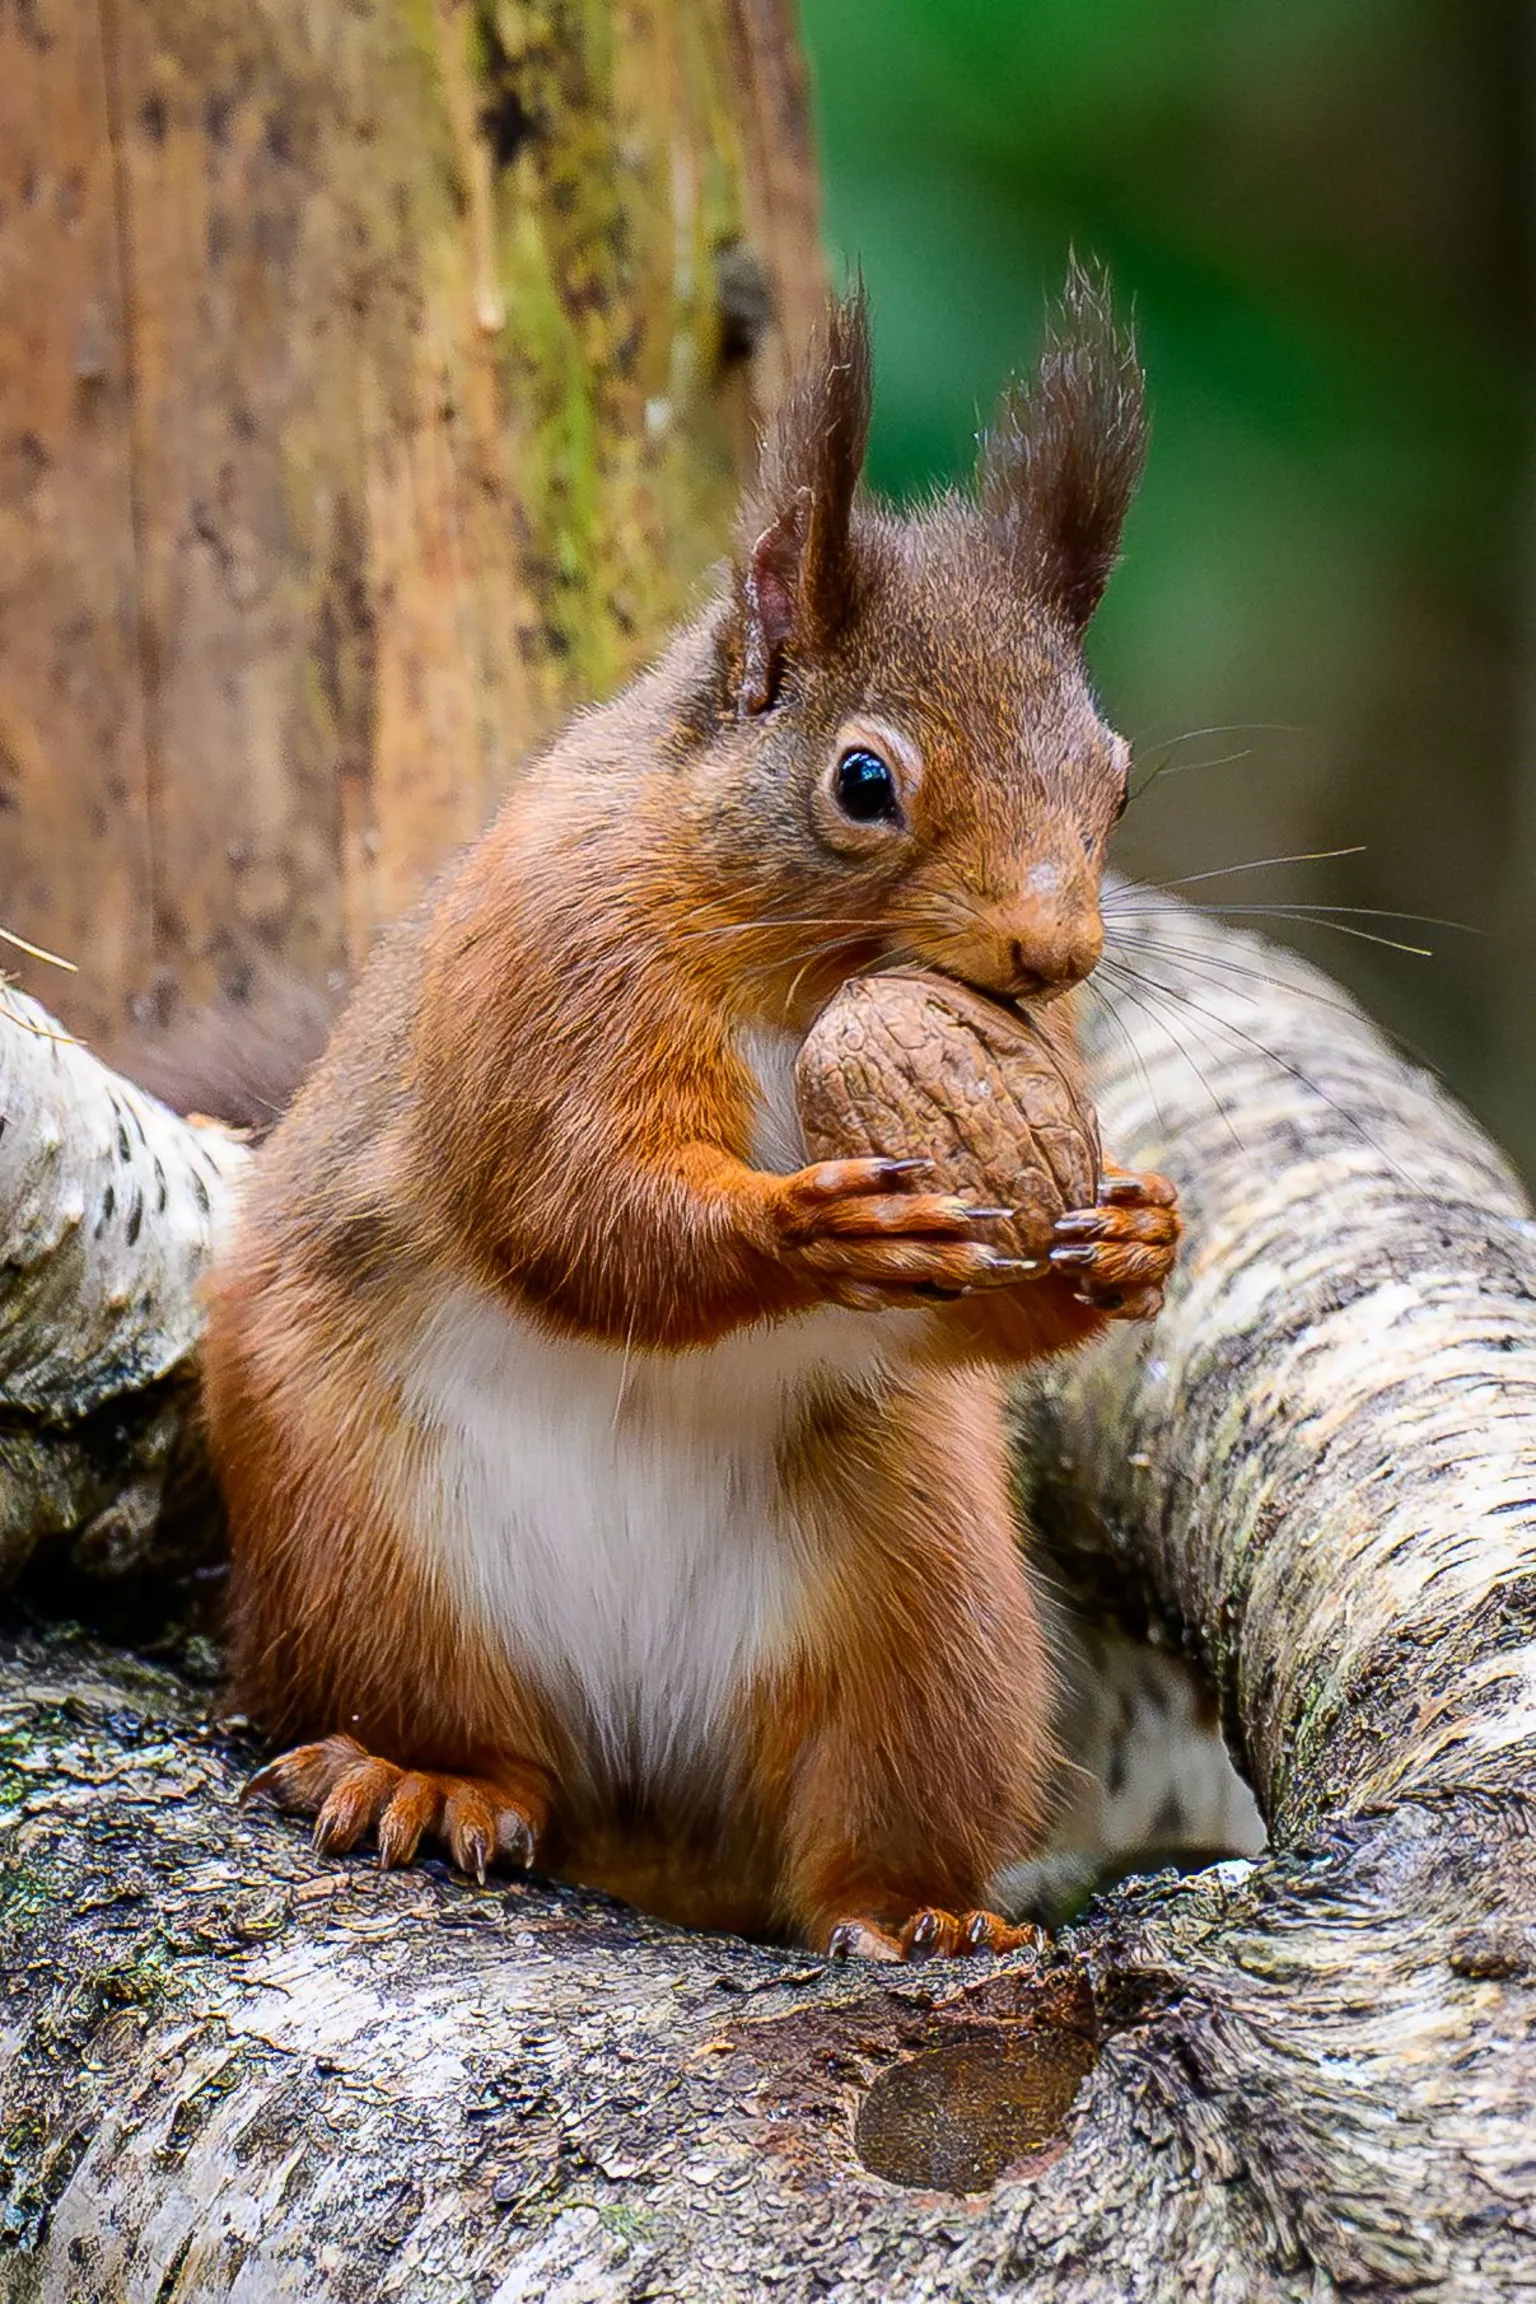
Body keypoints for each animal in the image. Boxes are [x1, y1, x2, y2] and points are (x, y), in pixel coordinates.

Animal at [204, 270, 1181, 1962]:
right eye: (864, 783)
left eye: (1114, 786)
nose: (1056, 955)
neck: (808, 989)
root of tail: (641, 1810)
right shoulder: (558, 959)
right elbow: (573, 1202)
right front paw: (808, 1229)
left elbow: (987, 1304)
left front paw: (1130, 1235)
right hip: (356, 1529)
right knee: (453, 1717)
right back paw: (427, 1778)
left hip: (926, 1602)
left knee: (870, 1805)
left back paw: (918, 1910)